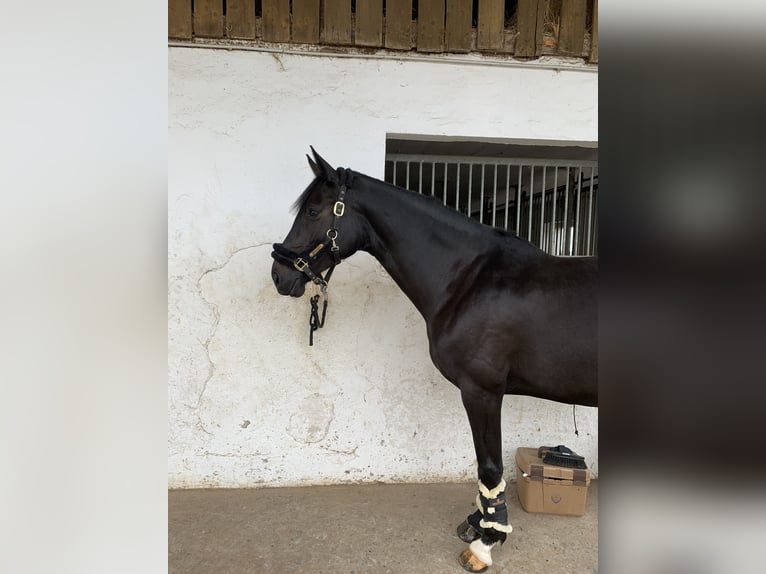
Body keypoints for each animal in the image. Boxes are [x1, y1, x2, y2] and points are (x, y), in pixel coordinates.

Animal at [272, 150, 600, 574]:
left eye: (313, 211)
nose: (278, 276)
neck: (469, 280)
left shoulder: (482, 391)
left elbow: (489, 464)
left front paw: (485, 543)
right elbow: (483, 462)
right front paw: (478, 522)